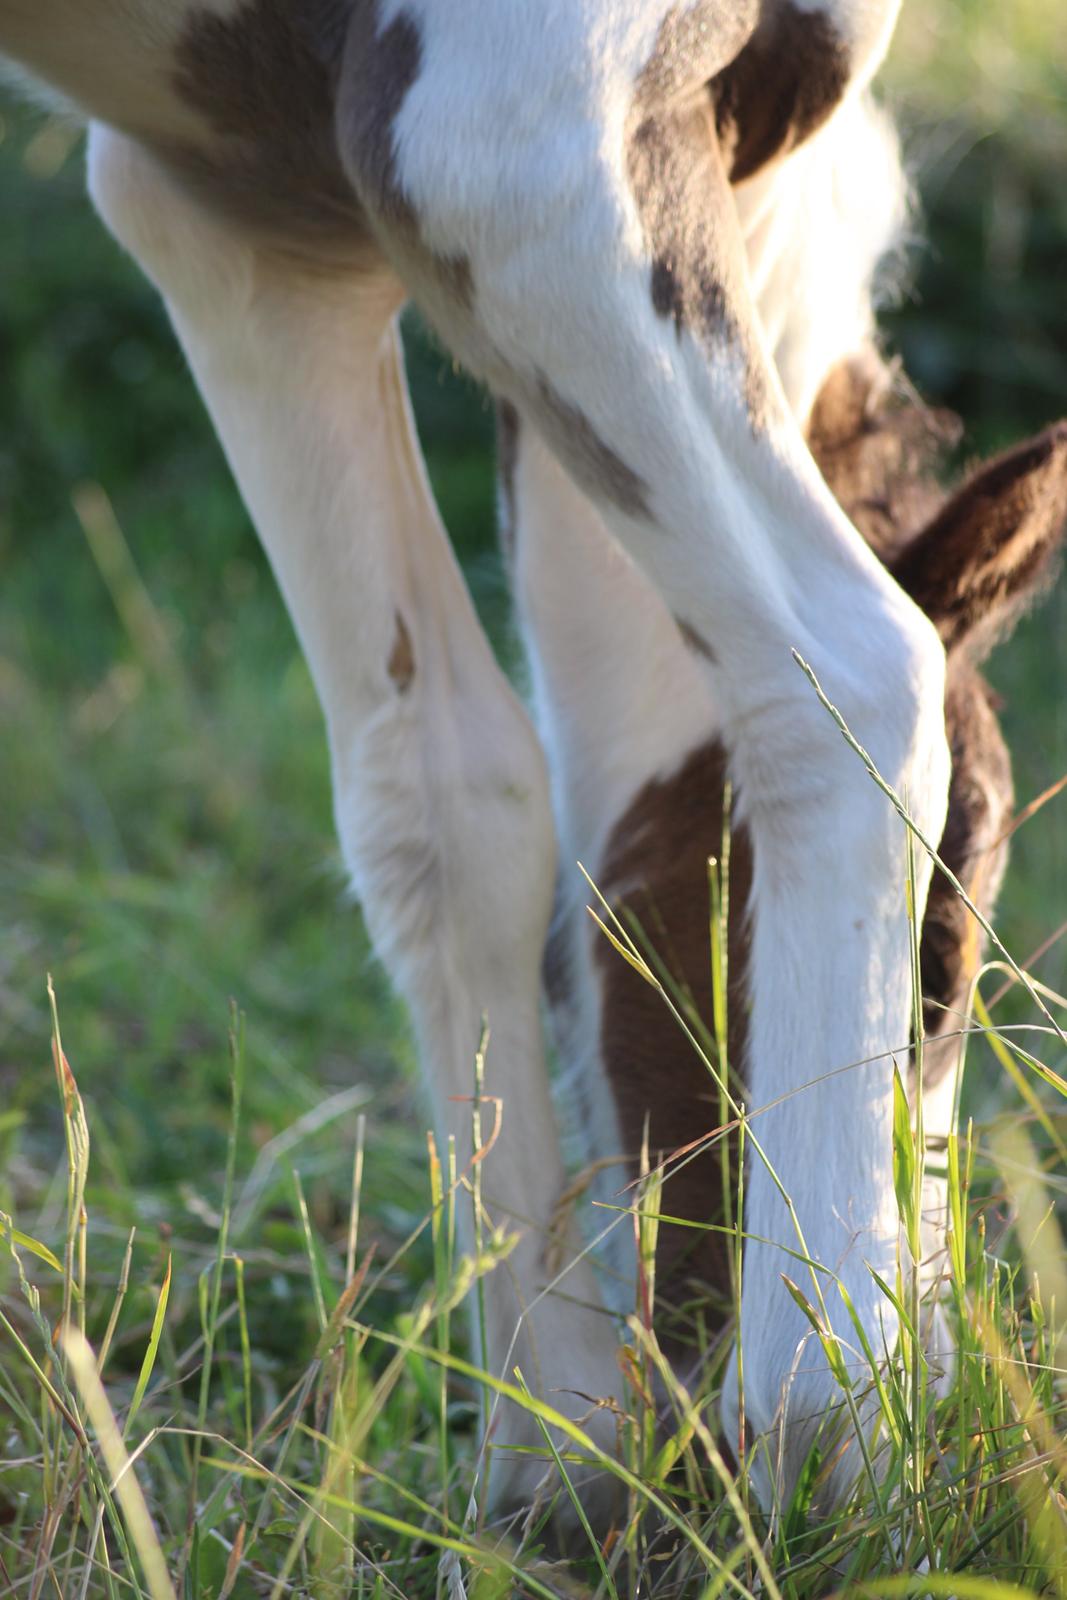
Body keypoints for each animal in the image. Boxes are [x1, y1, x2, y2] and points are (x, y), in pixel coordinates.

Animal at [2, 0, 1067, 1510]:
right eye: (943, 943)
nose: (934, 1365)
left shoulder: (235, 217)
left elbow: (442, 794)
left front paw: (554, 1454)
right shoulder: (512, 138)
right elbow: (837, 668)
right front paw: (833, 1434)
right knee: (849, 661)